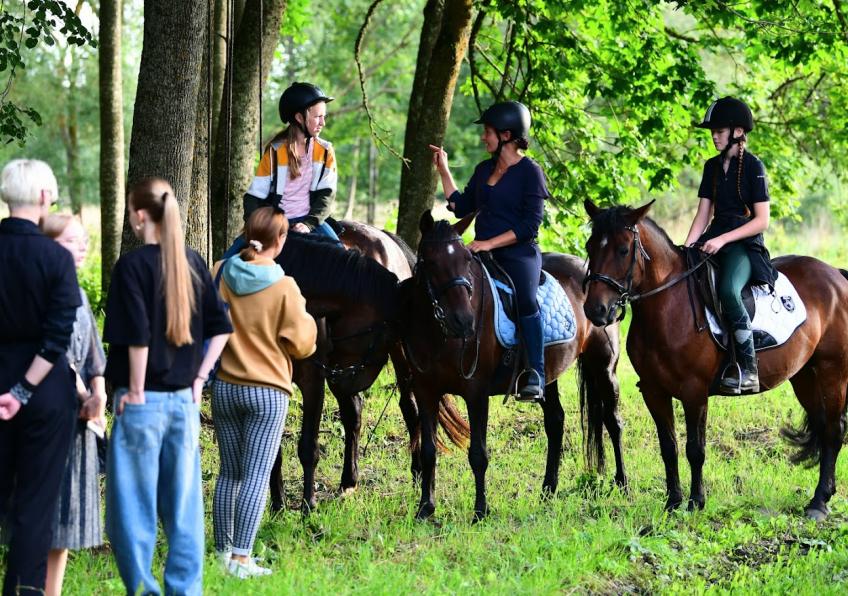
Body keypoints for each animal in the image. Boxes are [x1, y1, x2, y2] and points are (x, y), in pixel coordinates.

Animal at [268, 225, 468, 512]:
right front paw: (278, 504)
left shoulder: (313, 377)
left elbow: (307, 446)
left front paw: (308, 506)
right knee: (354, 411)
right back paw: (348, 480)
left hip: (398, 354)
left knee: (410, 408)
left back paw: (417, 472)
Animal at [404, 211, 624, 520]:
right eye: (431, 262)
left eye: (466, 260)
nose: (464, 322)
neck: (440, 334)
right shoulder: (425, 392)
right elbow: (428, 451)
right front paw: (425, 508)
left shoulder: (476, 393)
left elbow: (478, 454)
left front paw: (481, 510)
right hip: (546, 376)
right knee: (555, 422)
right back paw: (548, 490)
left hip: (604, 367)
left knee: (613, 422)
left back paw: (623, 483)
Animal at [584, 199, 848, 516]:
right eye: (589, 246)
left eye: (623, 250)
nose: (595, 310)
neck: (667, 309)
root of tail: (836, 275)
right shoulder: (653, 391)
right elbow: (668, 447)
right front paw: (673, 502)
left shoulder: (694, 391)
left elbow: (695, 450)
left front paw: (696, 502)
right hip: (805, 374)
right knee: (822, 424)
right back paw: (821, 496)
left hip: (833, 370)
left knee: (833, 430)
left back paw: (819, 503)